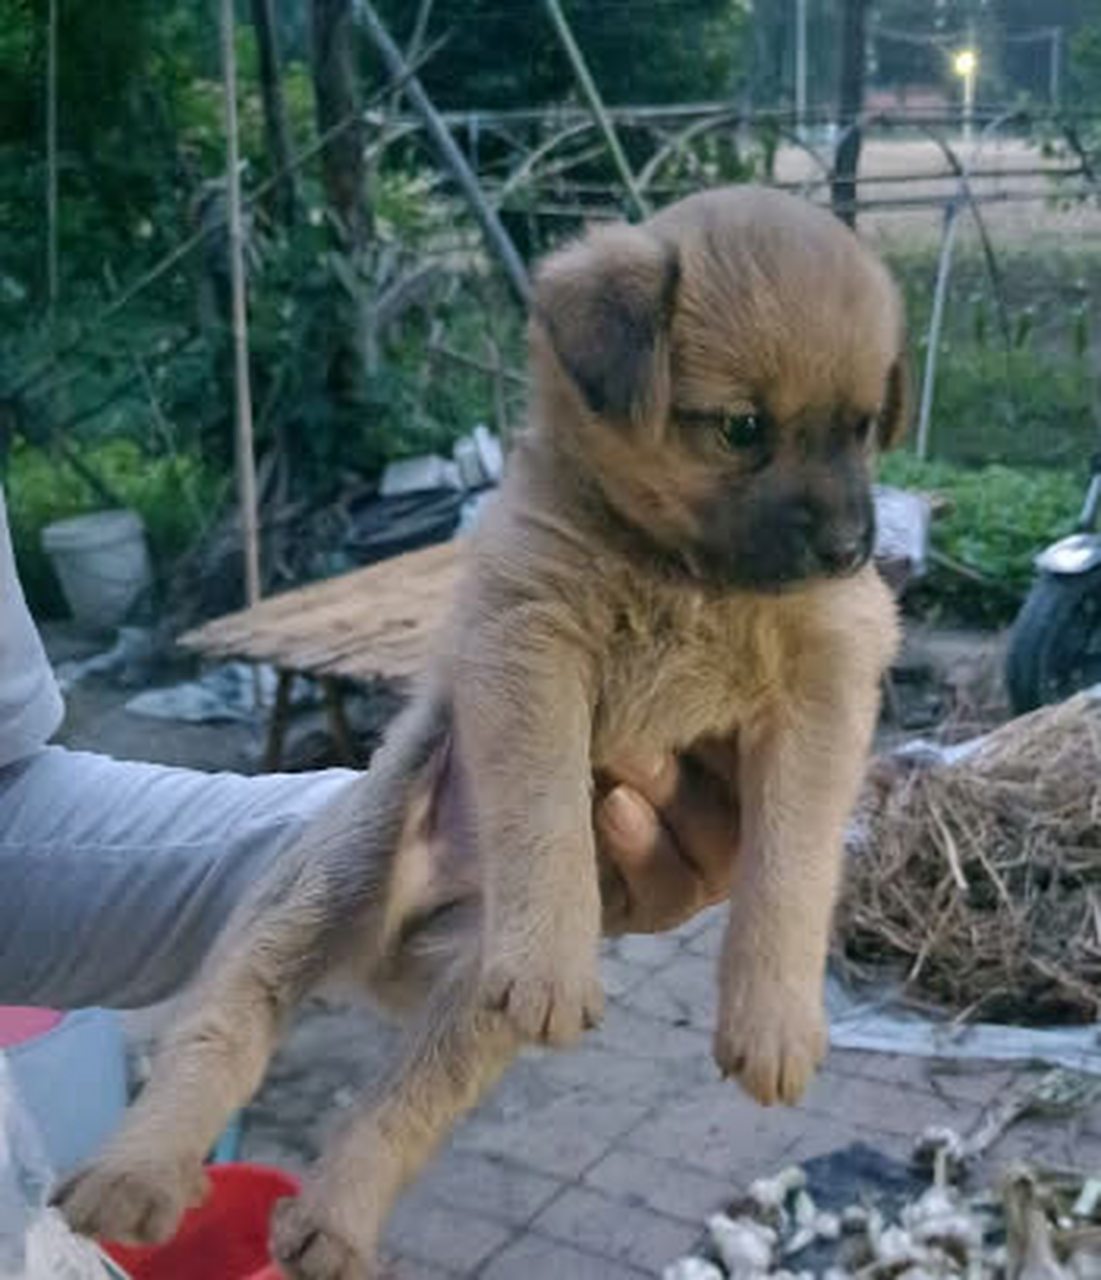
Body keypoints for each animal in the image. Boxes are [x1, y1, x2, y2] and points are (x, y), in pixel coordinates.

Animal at [56, 183, 906, 1280]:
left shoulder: (824, 683)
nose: (851, 550)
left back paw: (331, 1221)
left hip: (468, 1007)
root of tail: (394, 949)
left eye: (862, 428)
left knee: (395, 1108)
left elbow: (791, 867)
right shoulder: (528, 643)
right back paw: (138, 1173)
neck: (678, 570)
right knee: (220, 1029)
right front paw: (564, 948)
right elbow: (543, 812)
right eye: (742, 426)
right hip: (317, 888)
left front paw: (776, 1018)